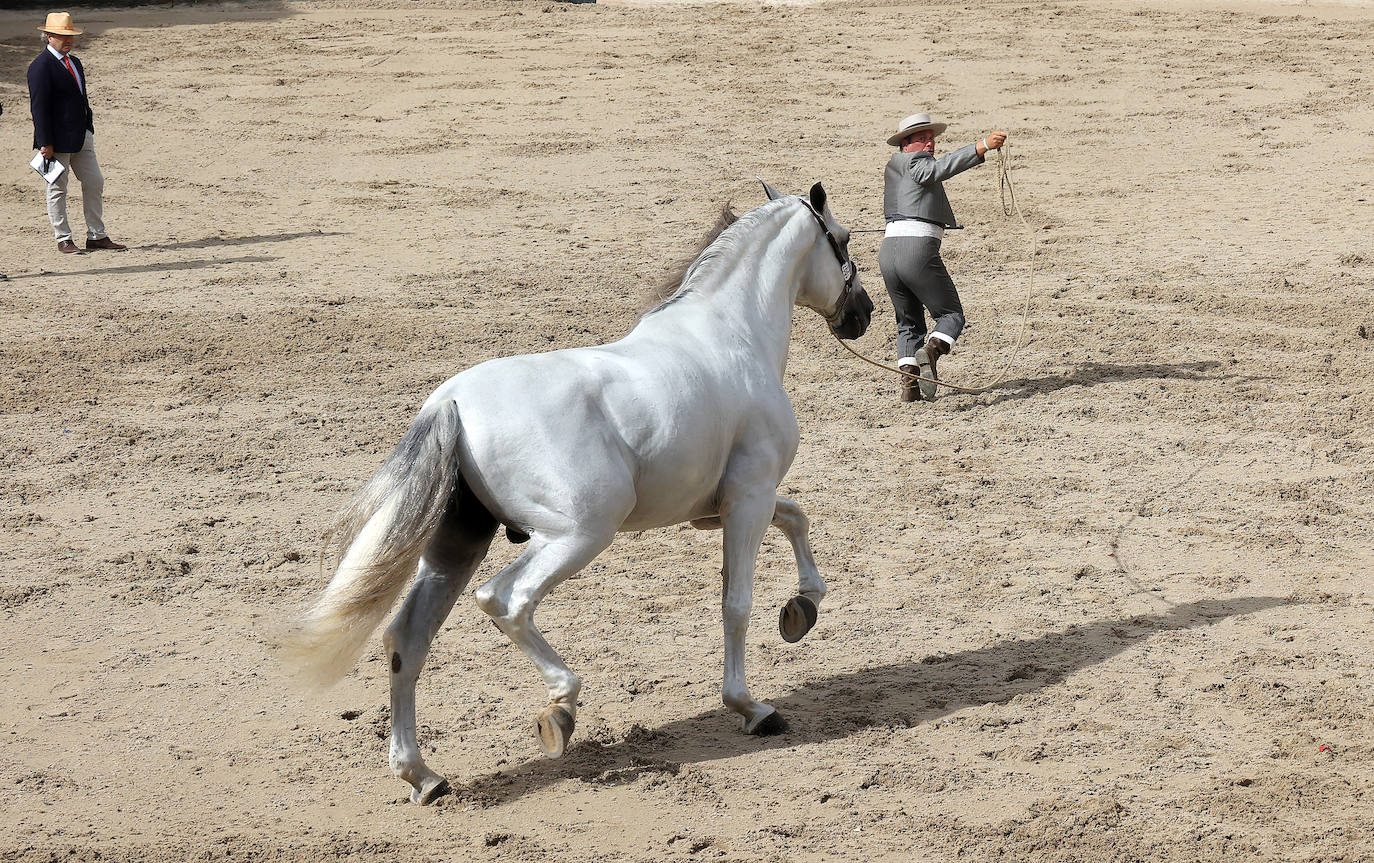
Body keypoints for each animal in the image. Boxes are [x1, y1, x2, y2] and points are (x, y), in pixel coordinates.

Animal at [284, 180, 873, 802]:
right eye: (843, 239)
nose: (862, 313)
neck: (729, 336)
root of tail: (453, 401)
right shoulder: (749, 499)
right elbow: (737, 603)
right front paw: (752, 707)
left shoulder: (718, 509)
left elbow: (797, 517)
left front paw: (804, 607)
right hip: (579, 534)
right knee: (506, 600)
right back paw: (559, 708)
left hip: (456, 547)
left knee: (407, 640)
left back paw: (423, 776)